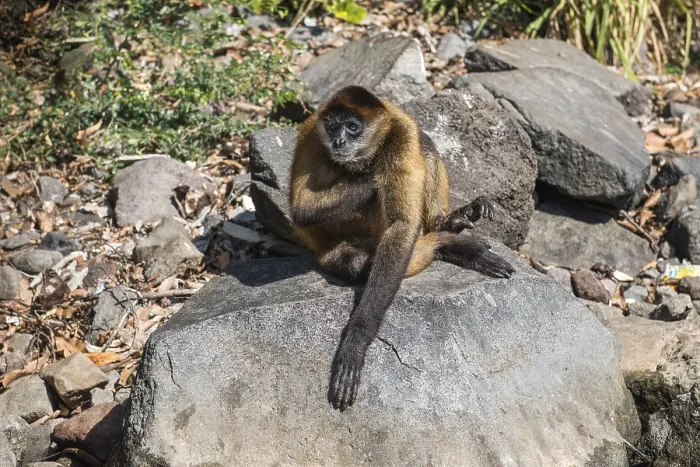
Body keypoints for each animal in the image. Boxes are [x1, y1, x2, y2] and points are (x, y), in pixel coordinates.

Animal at [289, 86, 514, 412]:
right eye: (332, 127)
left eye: (352, 127)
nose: (339, 141)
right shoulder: (310, 132)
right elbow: (301, 210)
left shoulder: (401, 133)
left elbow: (403, 225)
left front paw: (356, 340)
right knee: (355, 260)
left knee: (425, 144)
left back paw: (444, 227)